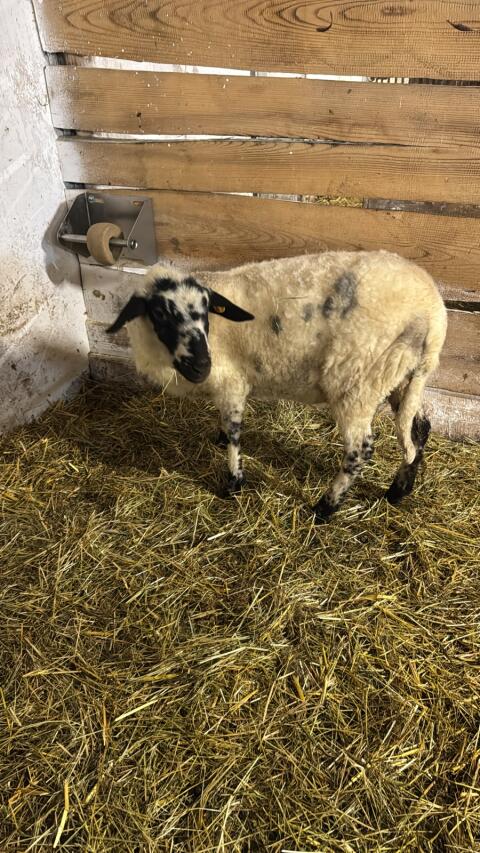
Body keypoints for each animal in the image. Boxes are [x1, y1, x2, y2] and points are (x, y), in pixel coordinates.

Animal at [107, 250, 447, 521]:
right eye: (160, 312)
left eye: (205, 310)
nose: (202, 365)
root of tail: (433, 313)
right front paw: (219, 439)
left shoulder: (232, 382)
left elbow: (234, 435)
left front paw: (233, 484)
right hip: (401, 376)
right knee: (418, 430)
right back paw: (399, 490)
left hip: (357, 382)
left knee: (360, 449)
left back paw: (325, 508)